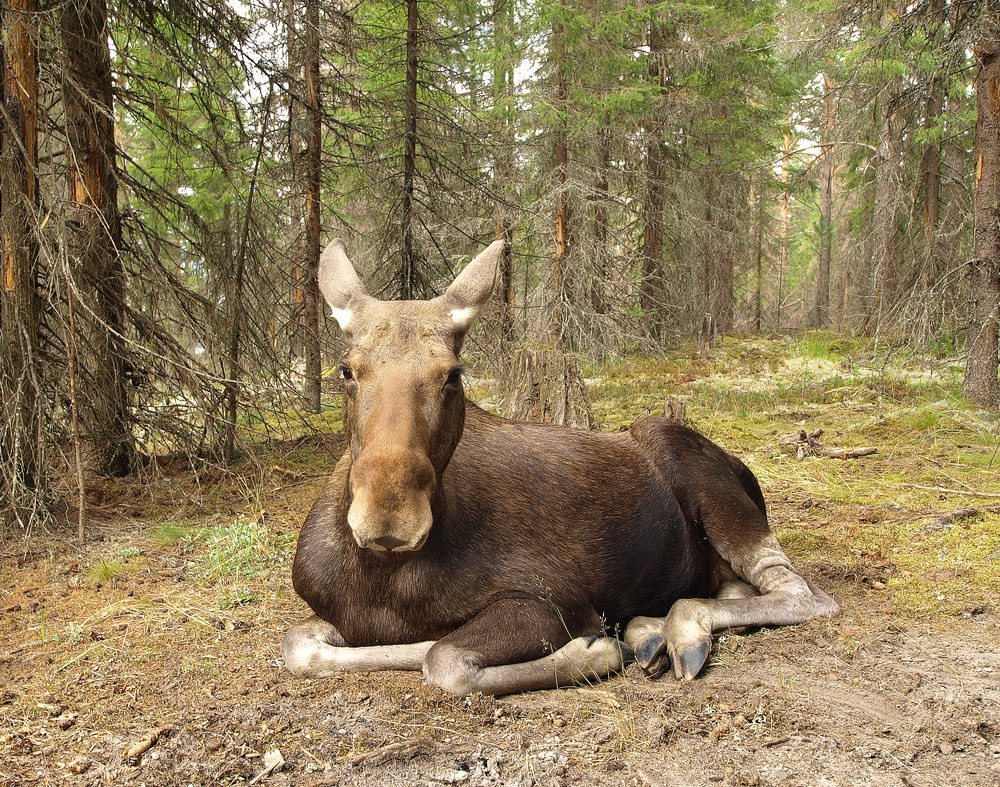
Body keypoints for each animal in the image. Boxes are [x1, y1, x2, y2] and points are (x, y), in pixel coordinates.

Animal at [286, 240, 840, 696]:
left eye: (452, 375)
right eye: (346, 370)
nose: (389, 520)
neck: (382, 577)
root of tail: (743, 468)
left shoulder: (554, 599)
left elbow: (443, 658)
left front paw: (594, 649)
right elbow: (298, 648)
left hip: (694, 466)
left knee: (803, 592)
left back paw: (673, 630)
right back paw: (649, 629)